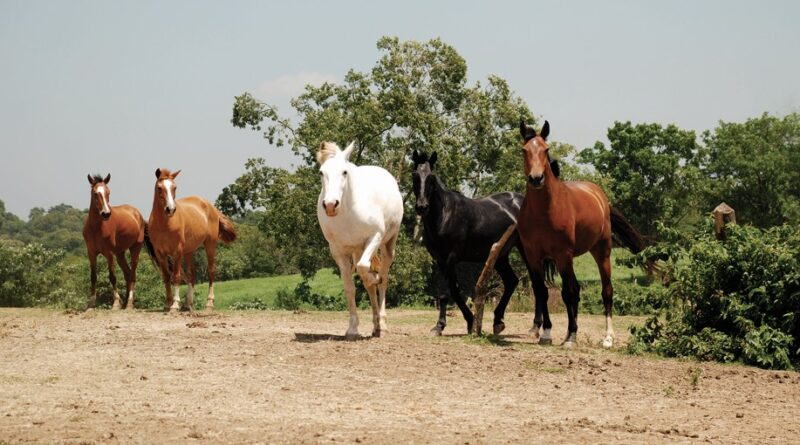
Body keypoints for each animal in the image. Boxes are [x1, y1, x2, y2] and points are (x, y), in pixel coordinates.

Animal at [84, 173, 147, 308]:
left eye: (108, 192)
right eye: (95, 193)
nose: (106, 214)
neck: (96, 228)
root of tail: (137, 214)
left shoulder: (109, 253)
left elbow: (112, 276)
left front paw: (116, 303)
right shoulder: (91, 253)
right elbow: (93, 276)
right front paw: (91, 303)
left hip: (135, 249)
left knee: (133, 274)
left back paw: (129, 303)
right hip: (120, 254)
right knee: (127, 273)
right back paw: (126, 302)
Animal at [145, 168, 236, 310]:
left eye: (174, 187)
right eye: (159, 188)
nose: (170, 209)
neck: (164, 224)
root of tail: (210, 206)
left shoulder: (177, 251)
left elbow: (176, 276)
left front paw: (175, 304)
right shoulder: (160, 253)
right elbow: (166, 277)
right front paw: (168, 303)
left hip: (210, 244)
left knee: (211, 270)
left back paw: (209, 302)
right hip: (189, 252)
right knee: (192, 275)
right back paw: (188, 303)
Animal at [318, 142, 406, 340]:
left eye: (344, 172)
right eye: (321, 172)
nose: (330, 205)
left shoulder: (375, 237)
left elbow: (366, 269)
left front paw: (375, 278)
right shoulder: (338, 251)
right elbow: (350, 287)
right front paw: (352, 329)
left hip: (387, 244)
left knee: (384, 279)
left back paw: (383, 324)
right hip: (358, 249)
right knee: (368, 283)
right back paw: (375, 326)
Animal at [410, 151, 552, 334]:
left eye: (431, 177)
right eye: (415, 175)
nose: (422, 206)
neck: (445, 215)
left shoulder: (451, 257)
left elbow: (453, 290)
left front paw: (470, 321)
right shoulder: (439, 259)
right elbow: (444, 293)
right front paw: (439, 326)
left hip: (526, 251)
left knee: (537, 285)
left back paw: (535, 326)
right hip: (500, 256)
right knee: (512, 281)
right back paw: (498, 322)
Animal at [520, 120, 644, 346]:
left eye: (546, 149)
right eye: (524, 150)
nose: (536, 178)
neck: (543, 212)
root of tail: (601, 197)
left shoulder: (562, 254)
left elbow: (567, 293)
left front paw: (571, 336)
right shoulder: (534, 256)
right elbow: (543, 292)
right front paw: (547, 333)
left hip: (601, 252)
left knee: (606, 291)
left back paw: (608, 337)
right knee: (576, 290)